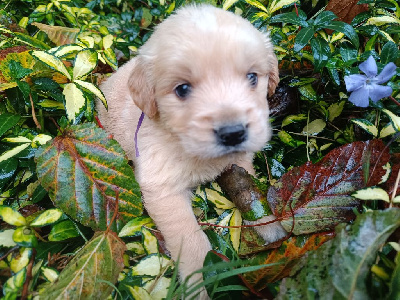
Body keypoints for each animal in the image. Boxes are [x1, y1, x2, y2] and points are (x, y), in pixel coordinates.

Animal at [97, 4, 284, 296]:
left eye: (252, 77)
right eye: (182, 89)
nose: (233, 133)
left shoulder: (239, 162)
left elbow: (250, 189)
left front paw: (270, 226)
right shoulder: (162, 188)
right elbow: (192, 243)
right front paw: (200, 286)